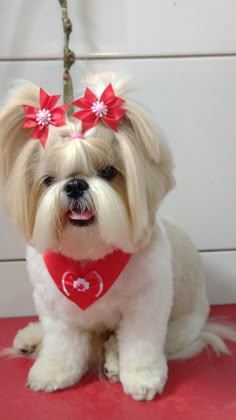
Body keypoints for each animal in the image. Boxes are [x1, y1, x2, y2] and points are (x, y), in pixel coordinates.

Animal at [0, 77, 236, 402]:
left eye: (109, 171)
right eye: (48, 180)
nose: (74, 185)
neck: (89, 257)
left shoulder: (146, 306)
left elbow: (140, 346)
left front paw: (142, 378)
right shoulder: (56, 308)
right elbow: (61, 344)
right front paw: (52, 371)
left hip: (183, 326)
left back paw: (113, 359)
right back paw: (33, 338)